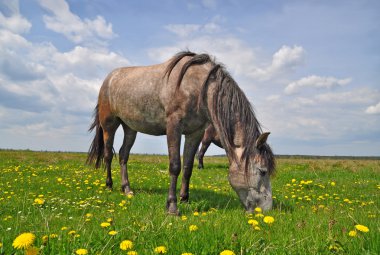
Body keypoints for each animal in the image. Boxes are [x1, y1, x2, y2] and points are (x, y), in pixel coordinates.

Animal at [87, 50, 274, 214]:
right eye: (262, 171)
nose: (266, 209)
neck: (198, 87)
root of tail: (108, 79)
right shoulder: (174, 127)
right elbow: (175, 165)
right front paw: (172, 206)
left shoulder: (195, 133)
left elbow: (188, 166)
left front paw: (185, 198)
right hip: (109, 125)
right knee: (108, 155)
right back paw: (109, 185)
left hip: (130, 128)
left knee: (123, 155)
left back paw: (127, 189)